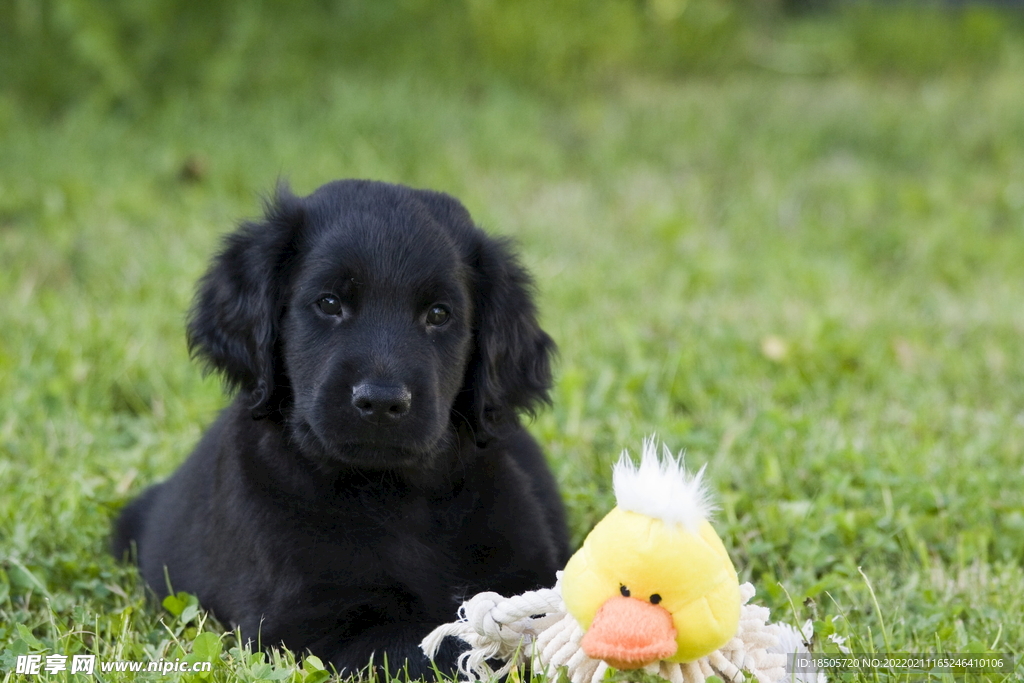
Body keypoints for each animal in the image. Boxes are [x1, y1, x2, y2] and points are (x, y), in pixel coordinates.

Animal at [117, 179, 577, 675]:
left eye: (439, 314)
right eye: (329, 303)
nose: (381, 401)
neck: (394, 496)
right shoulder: (309, 626)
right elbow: (444, 648)